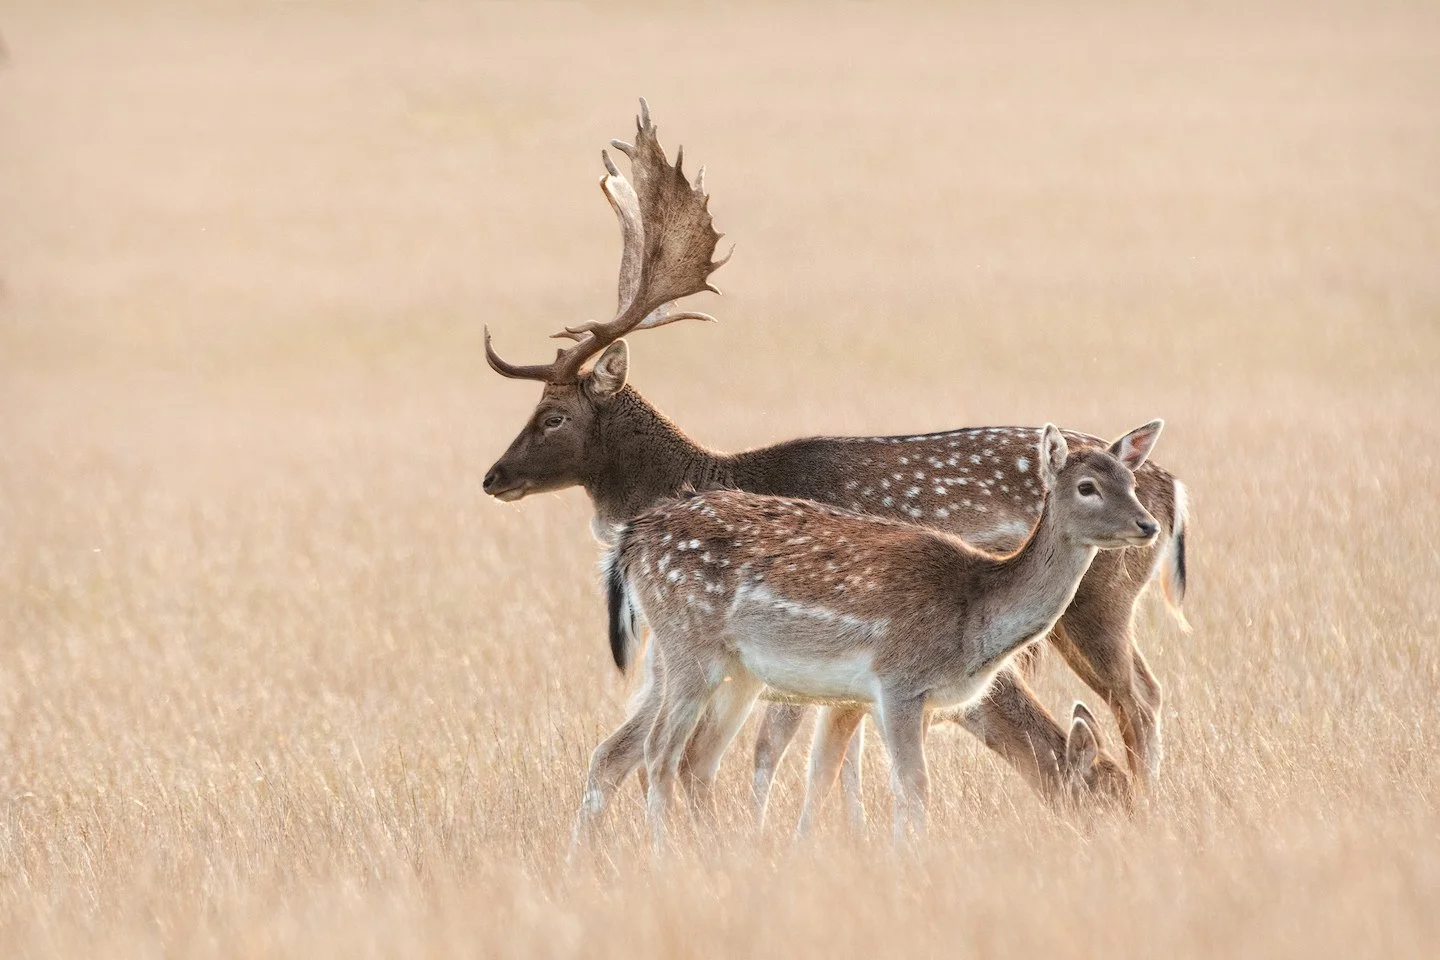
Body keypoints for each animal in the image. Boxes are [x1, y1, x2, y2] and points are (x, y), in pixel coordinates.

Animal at [587, 422, 1163, 848]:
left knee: (663, 757)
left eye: (1131, 484)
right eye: (1087, 487)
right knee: (661, 754)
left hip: (716, 671)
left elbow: (842, 777)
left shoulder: (874, 700)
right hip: (690, 649)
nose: (1148, 525)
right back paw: (668, 857)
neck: (974, 618)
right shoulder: (899, 682)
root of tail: (631, 539)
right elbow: (913, 786)